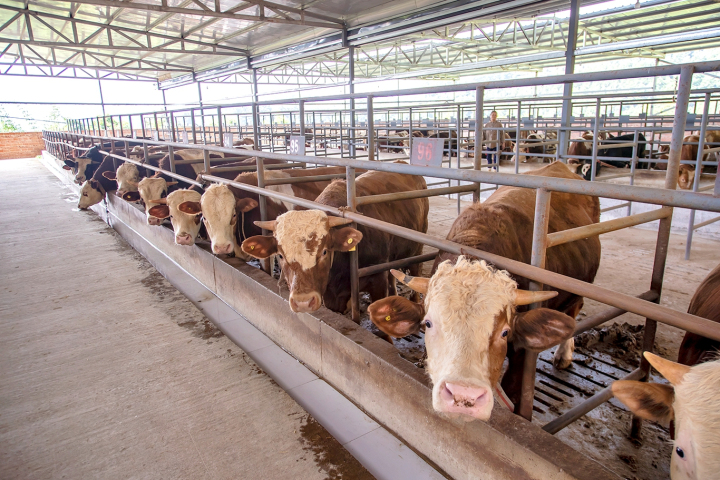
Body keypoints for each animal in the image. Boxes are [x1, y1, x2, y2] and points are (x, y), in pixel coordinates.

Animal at [241, 168, 429, 315]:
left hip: (417, 249)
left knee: (415, 270)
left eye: (324, 251)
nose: (303, 302)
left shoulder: (377, 281)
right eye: (280, 255)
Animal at [366, 162, 600, 420]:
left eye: (505, 332)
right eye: (428, 323)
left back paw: (564, 355)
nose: (463, 396)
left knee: (574, 309)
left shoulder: (521, 353)